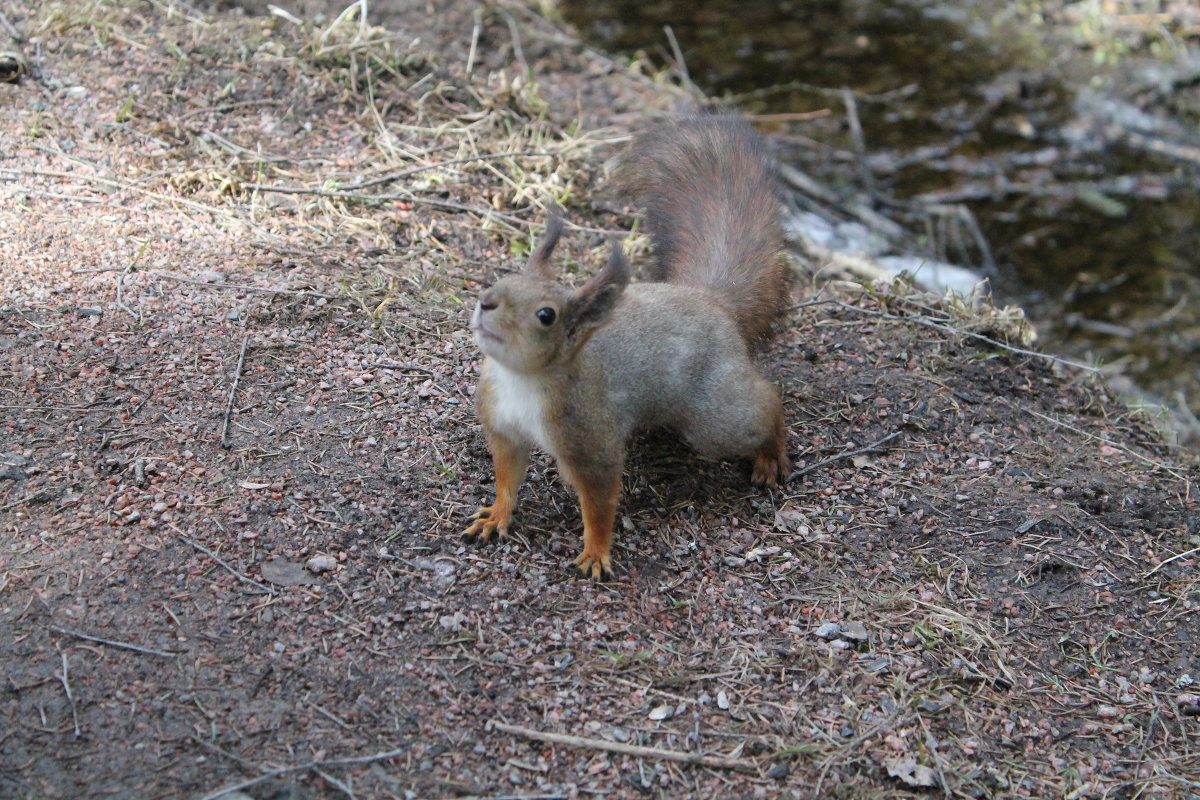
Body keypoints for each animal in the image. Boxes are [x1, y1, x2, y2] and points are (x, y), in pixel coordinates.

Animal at [463, 112, 792, 578]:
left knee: (764, 404)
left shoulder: (590, 439)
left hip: (715, 419)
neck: (520, 379)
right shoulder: (502, 427)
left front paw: (596, 553)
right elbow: (508, 479)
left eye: (546, 315)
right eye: (501, 278)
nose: (485, 302)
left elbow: (599, 503)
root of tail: (711, 301)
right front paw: (496, 515)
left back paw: (770, 454)